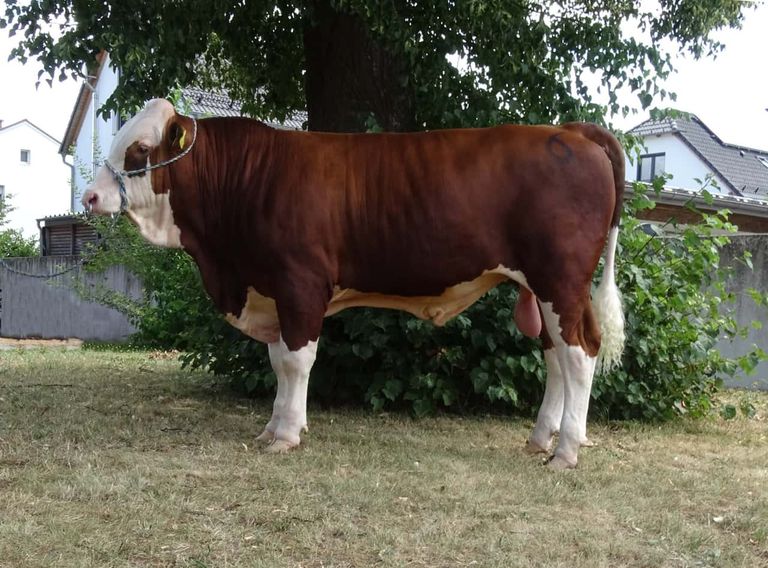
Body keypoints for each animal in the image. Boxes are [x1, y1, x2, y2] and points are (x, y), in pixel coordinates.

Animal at [83, 98, 625, 469]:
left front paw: (287, 435)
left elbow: (296, 361)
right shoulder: (273, 290)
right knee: (557, 357)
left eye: (139, 149)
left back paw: (566, 451)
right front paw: (274, 427)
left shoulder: (299, 281)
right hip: (545, 290)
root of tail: (569, 130)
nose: (89, 196)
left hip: (560, 279)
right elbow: (278, 362)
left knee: (580, 355)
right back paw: (540, 438)